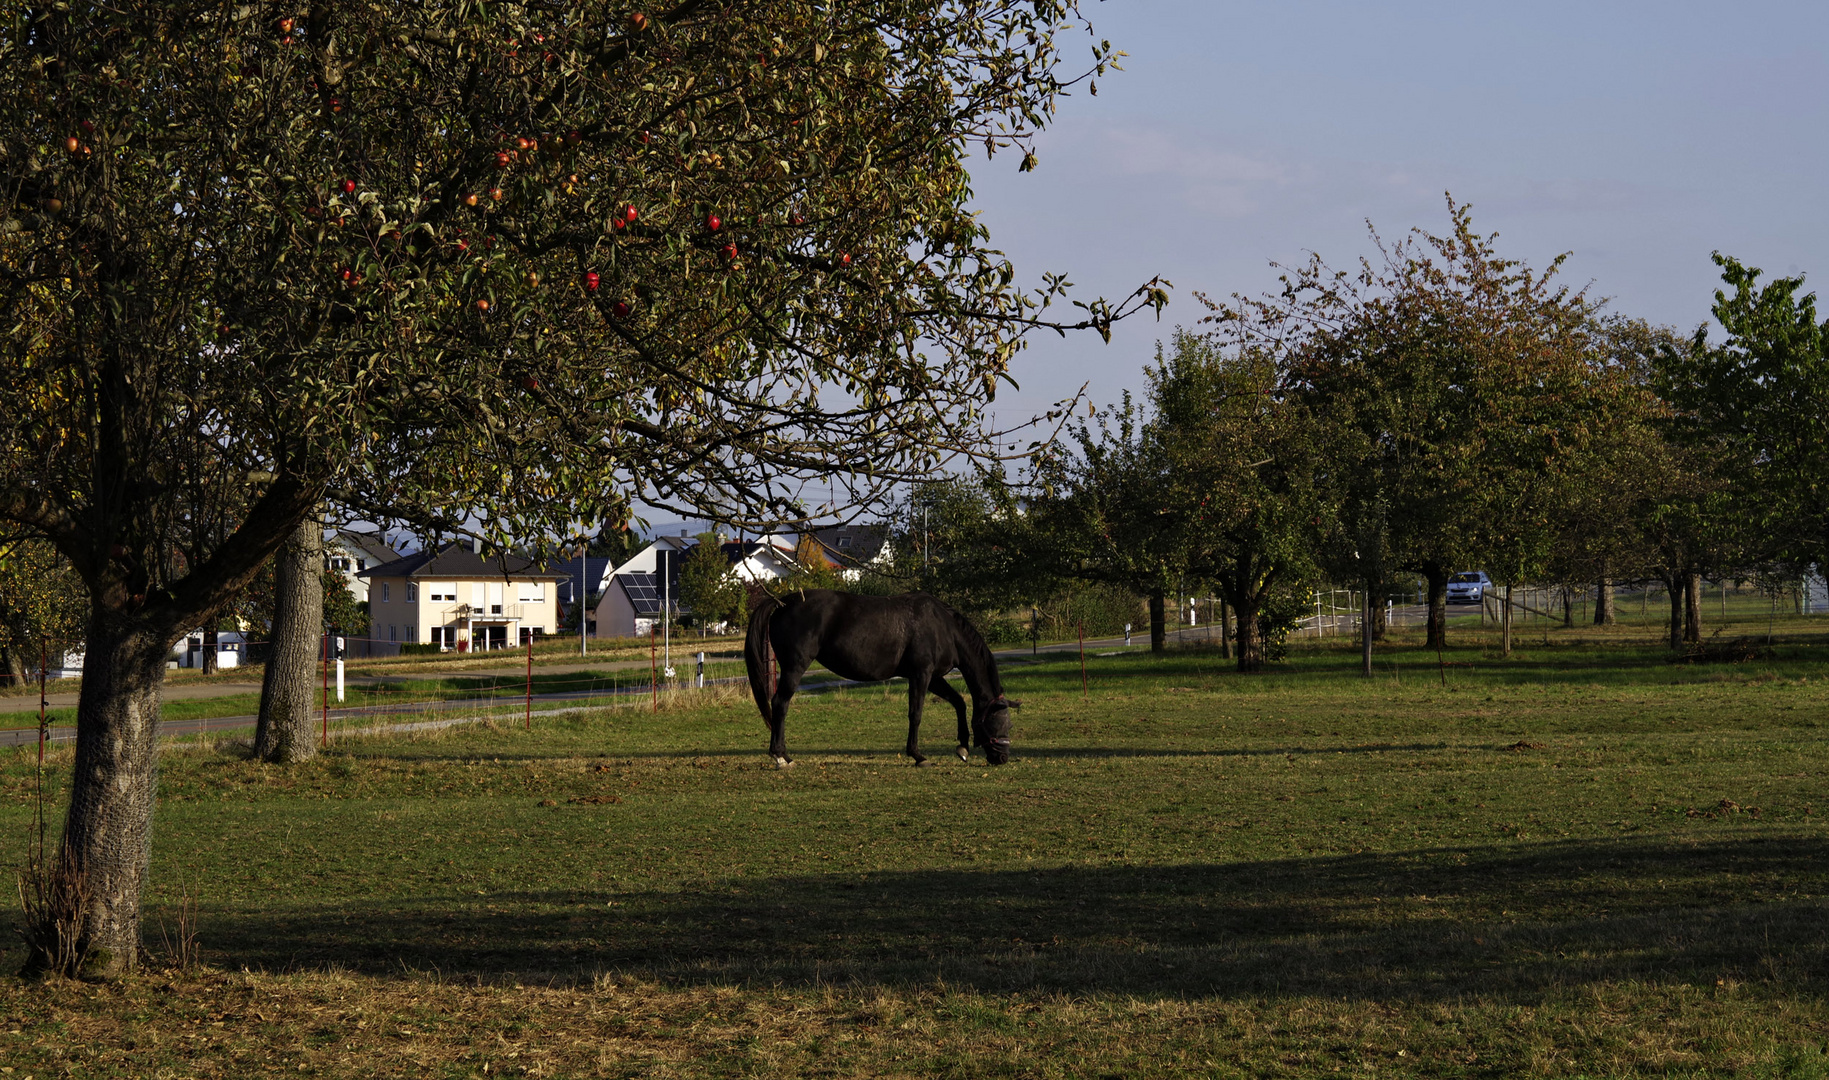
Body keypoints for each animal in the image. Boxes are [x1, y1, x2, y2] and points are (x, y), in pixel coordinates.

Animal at [746, 593, 1031, 768]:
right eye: (999, 723)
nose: (1002, 758)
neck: (943, 627)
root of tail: (782, 602)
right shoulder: (921, 674)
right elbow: (916, 714)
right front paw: (918, 755)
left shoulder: (935, 677)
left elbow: (959, 703)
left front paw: (962, 747)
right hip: (795, 667)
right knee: (780, 704)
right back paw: (781, 757)